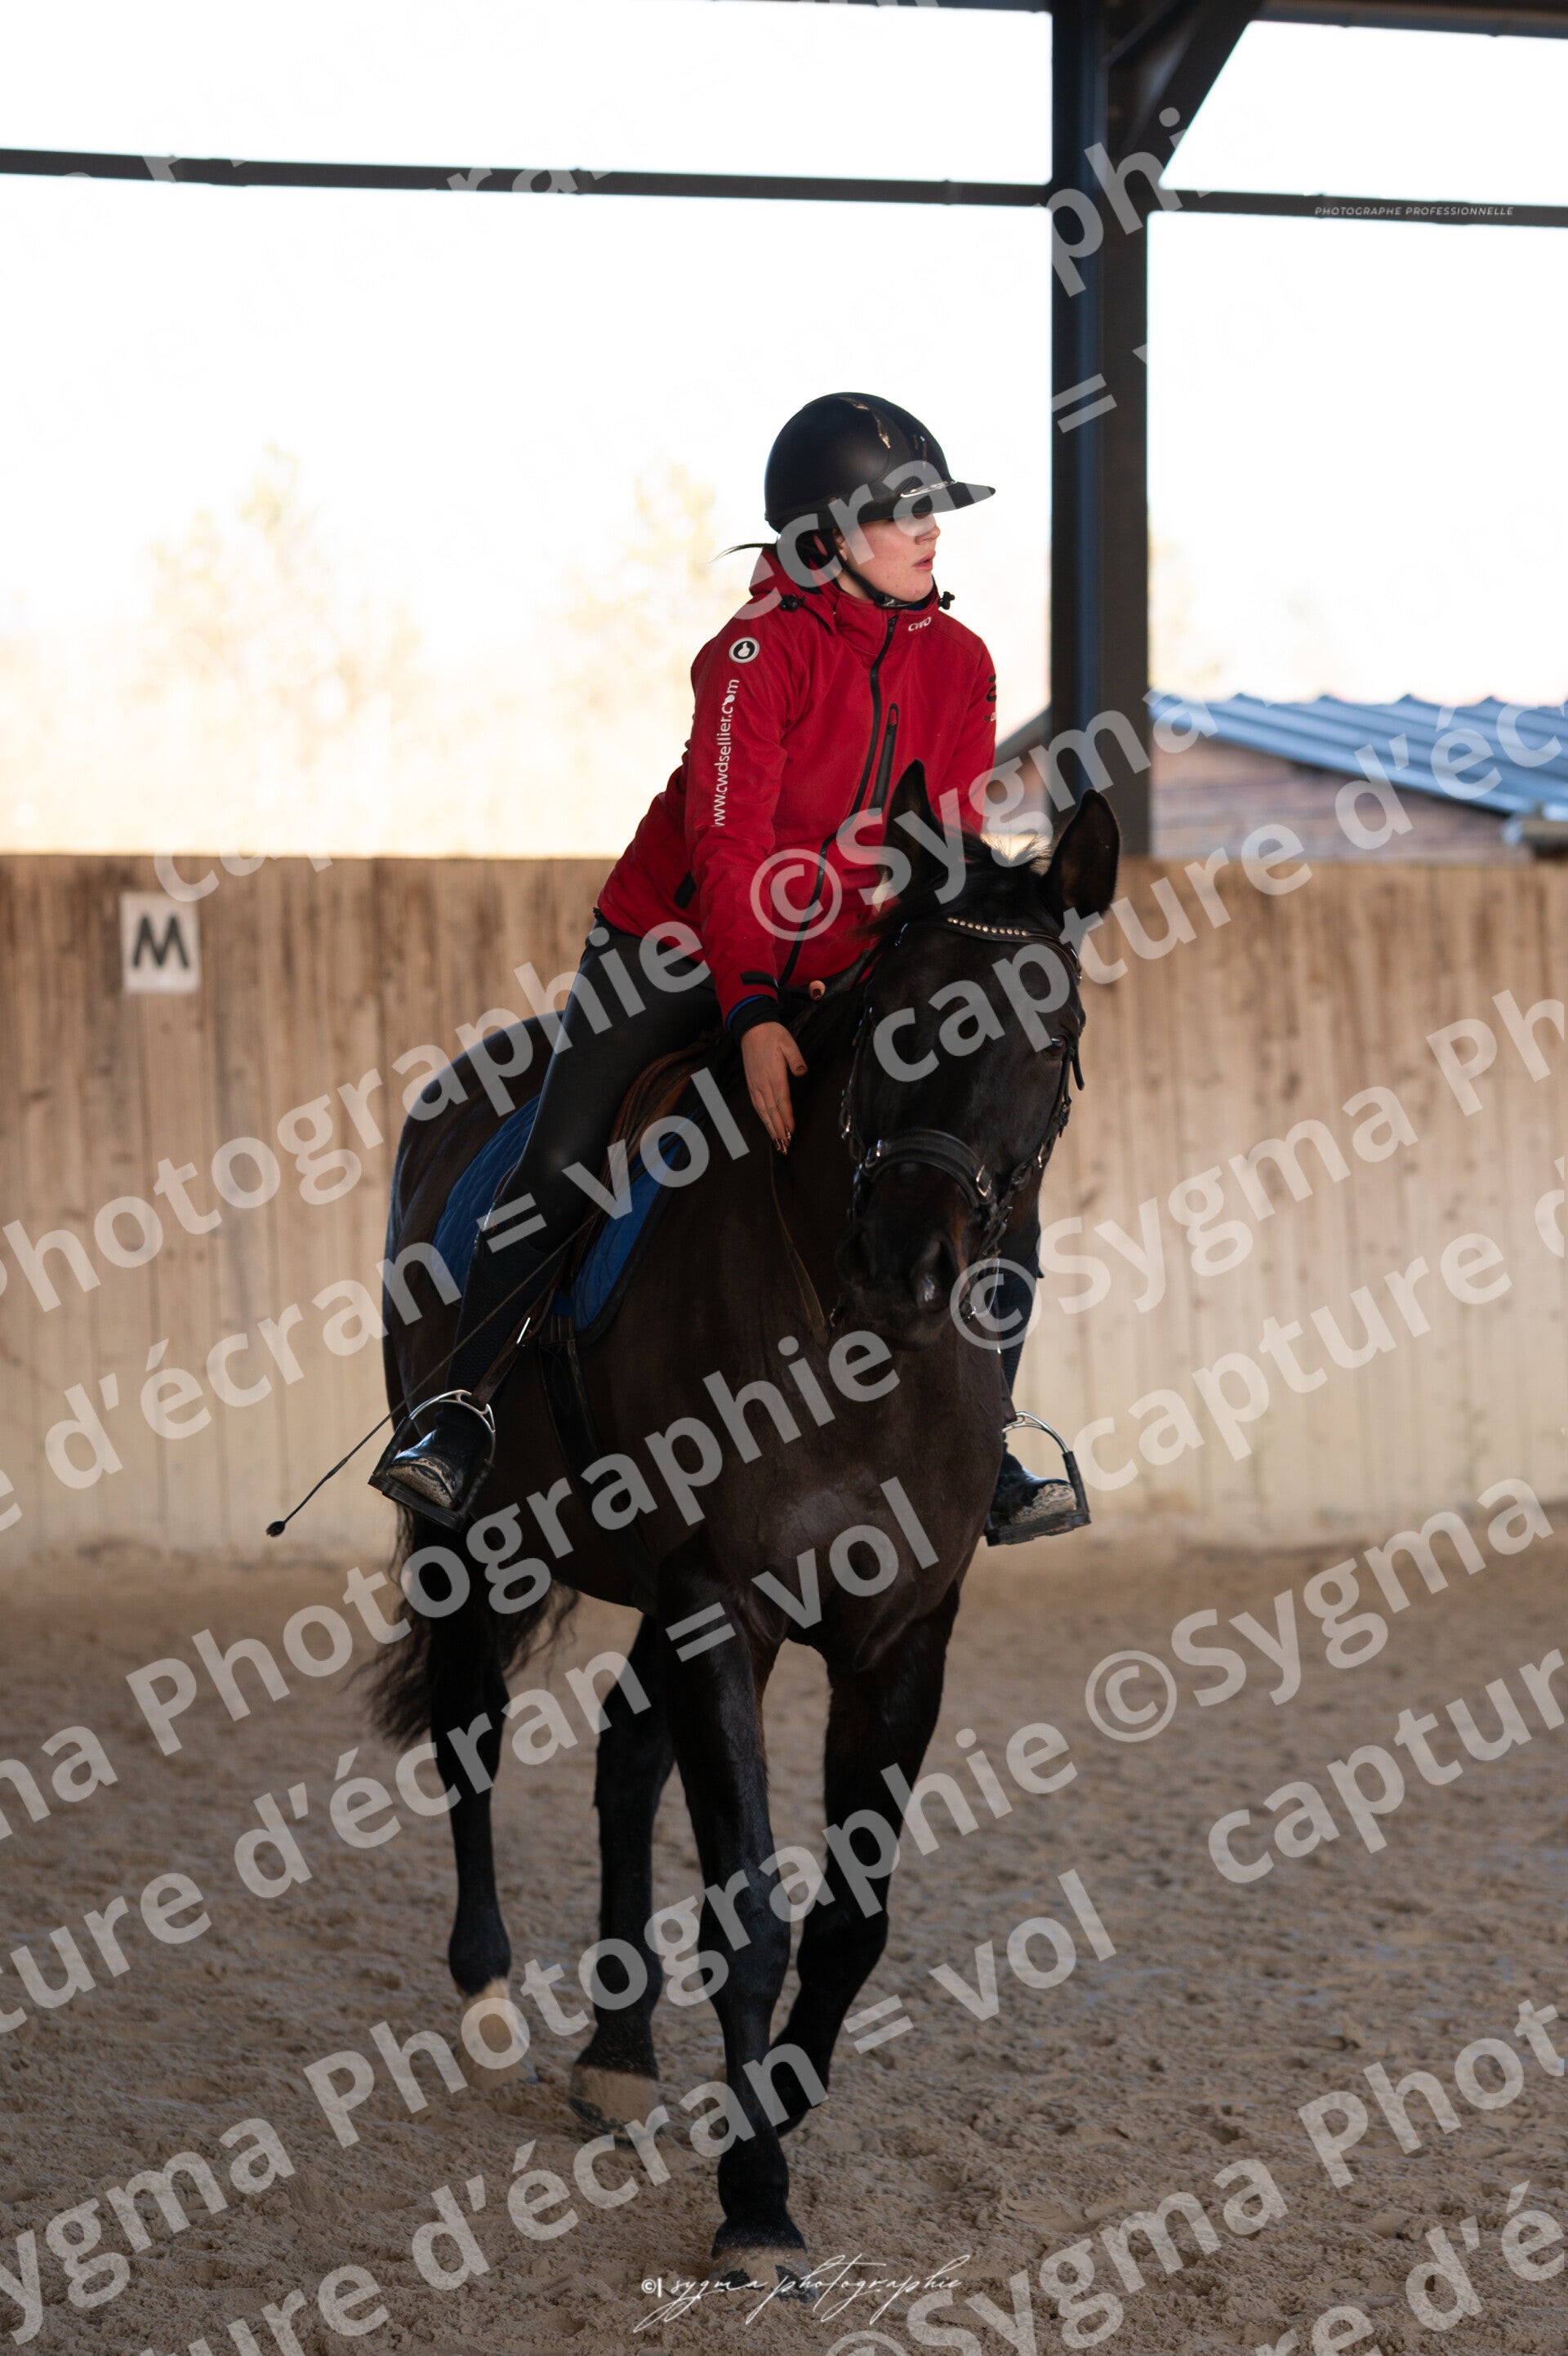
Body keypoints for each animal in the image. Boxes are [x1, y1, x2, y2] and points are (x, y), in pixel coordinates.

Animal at [371, 767, 1120, 2288]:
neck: (859, 1350)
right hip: (472, 1544)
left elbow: (850, 1923)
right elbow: (753, 1913)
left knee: (620, 1761)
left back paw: (617, 2054)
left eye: (1055, 1034)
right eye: (900, 1014)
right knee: (473, 1729)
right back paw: (487, 1990)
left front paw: (776, 2098)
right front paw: (757, 2199)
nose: (912, 1261)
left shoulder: (901, 1635)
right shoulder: (727, 1605)